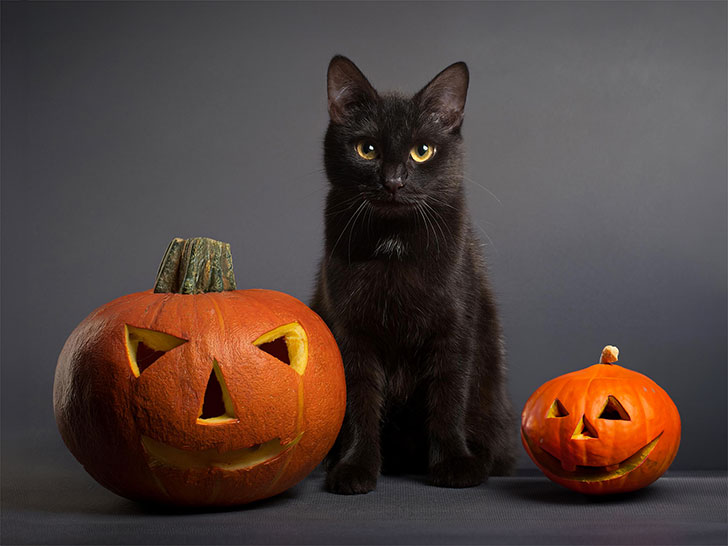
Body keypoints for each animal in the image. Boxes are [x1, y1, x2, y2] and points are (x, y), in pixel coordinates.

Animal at [312, 55, 516, 492]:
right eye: (367, 149)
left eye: (422, 151)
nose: (393, 181)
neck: (394, 241)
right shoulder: (350, 331)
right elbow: (360, 402)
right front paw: (355, 467)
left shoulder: (455, 328)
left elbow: (448, 397)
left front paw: (455, 464)